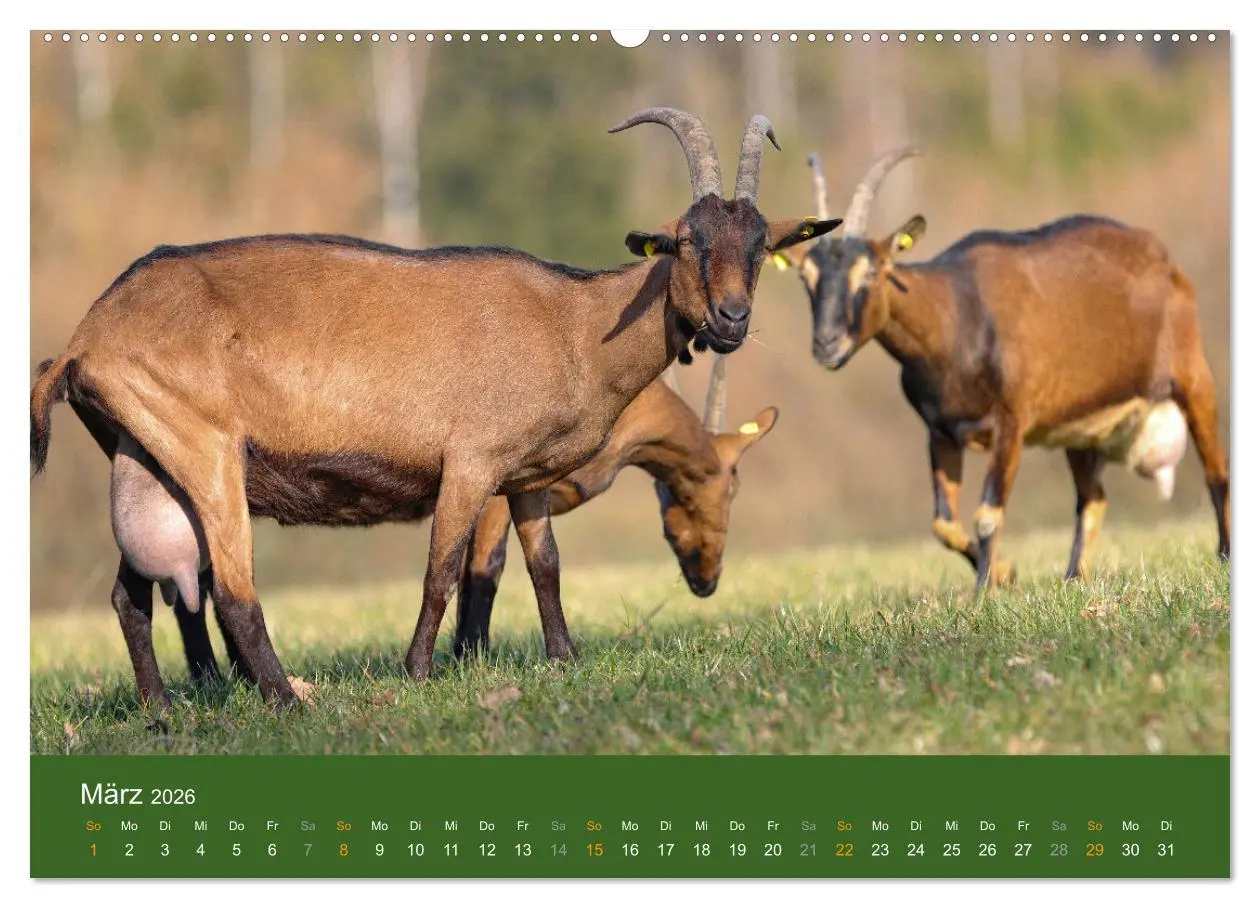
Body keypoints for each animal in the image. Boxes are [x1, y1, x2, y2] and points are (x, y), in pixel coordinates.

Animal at [777, 148, 1228, 587]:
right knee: (1092, 497)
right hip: (1079, 427)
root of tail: (1164, 259)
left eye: (871, 270)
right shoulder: (941, 431)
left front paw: (984, 590)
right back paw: (1073, 578)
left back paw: (1224, 555)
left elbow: (987, 514)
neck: (958, 316)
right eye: (805, 276)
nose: (827, 343)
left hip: (1192, 377)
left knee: (1217, 472)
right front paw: (1003, 573)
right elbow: (943, 523)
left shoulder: (1011, 422)